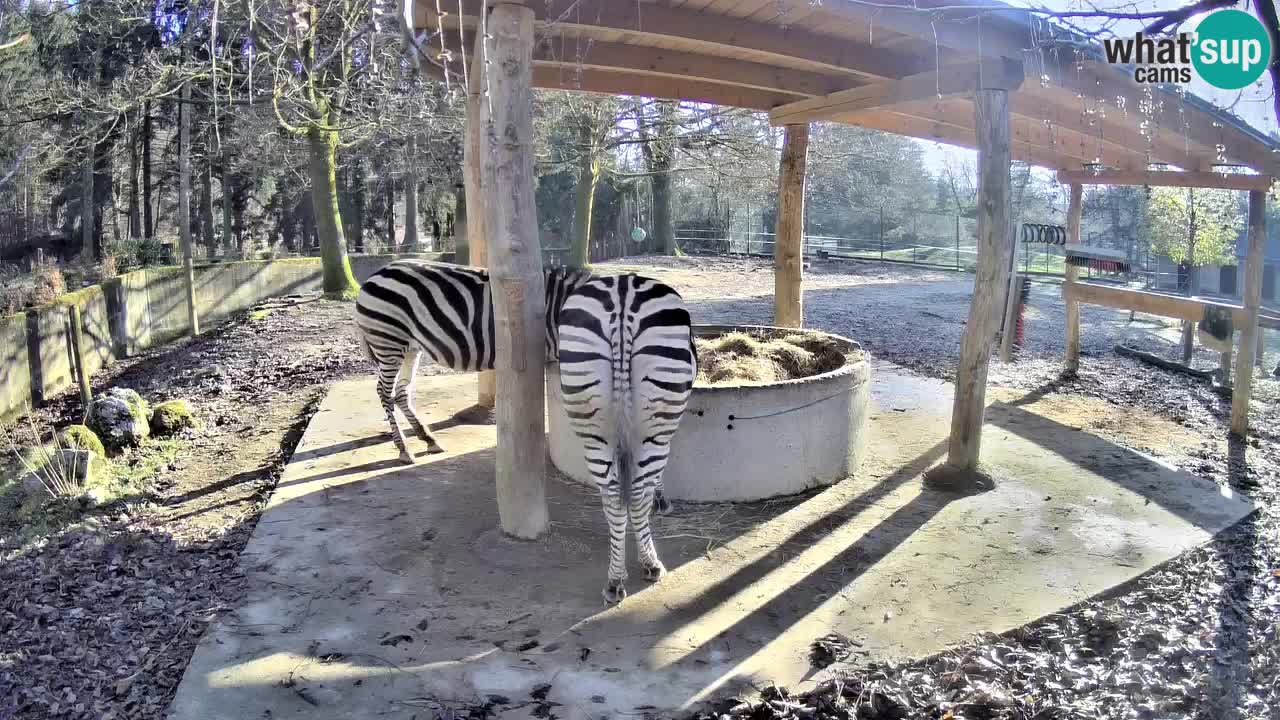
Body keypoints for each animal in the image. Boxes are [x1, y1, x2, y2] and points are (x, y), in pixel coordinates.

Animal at [350, 260, 588, 461]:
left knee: (401, 392)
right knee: (384, 391)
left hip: (409, 348)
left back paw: (428, 439)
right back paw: (403, 449)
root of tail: (374, 275)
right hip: (389, 342)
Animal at [558, 271, 701, 602]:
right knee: (635, 497)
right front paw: (661, 500)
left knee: (612, 497)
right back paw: (650, 564)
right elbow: (651, 481)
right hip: (656, 423)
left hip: (592, 425)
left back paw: (614, 579)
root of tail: (623, 292)